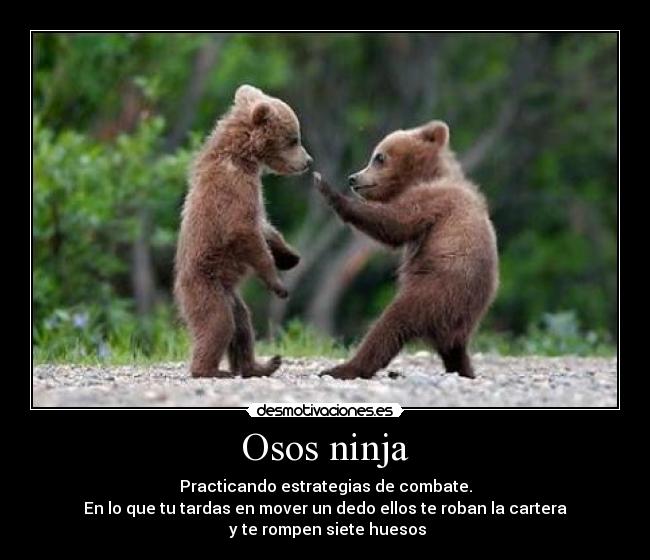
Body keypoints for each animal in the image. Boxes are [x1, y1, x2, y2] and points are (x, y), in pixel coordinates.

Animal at [174, 84, 312, 378]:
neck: (244, 157)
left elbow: (265, 226)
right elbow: (244, 232)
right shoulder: (233, 189)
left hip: (231, 295)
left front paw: (290, 256)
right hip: (206, 286)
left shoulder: (254, 193)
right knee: (218, 323)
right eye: (294, 139)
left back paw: (260, 365)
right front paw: (278, 284)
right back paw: (211, 370)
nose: (308, 160)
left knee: (242, 326)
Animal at [314, 120, 498, 379]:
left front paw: (326, 188)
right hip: (457, 313)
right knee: (453, 349)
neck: (426, 175)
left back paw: (344, 368)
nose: (353, 178)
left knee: (390, 324)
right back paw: (464, 369)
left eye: (379, 157)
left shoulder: (432, 200)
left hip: (435, 291)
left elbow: (394, 223)